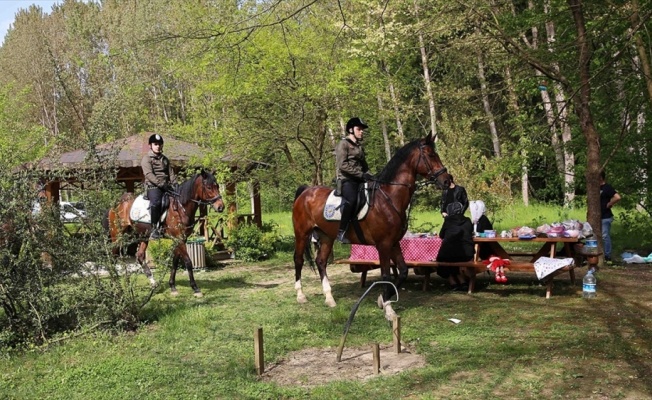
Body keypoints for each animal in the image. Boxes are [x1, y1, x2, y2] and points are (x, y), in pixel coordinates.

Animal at [292, 133, 450, 320]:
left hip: (326, 237)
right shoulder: (383, 245)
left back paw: (329, 298)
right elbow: (386, 274)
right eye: (431, 155)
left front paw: (382, 299)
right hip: (302, 234)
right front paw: (388, 309)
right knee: (299, 260)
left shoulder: (394, 243)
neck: (389, 197)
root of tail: (306, 192)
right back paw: (301, 295)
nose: (447, 181)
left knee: (321, 261)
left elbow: (403, 271)